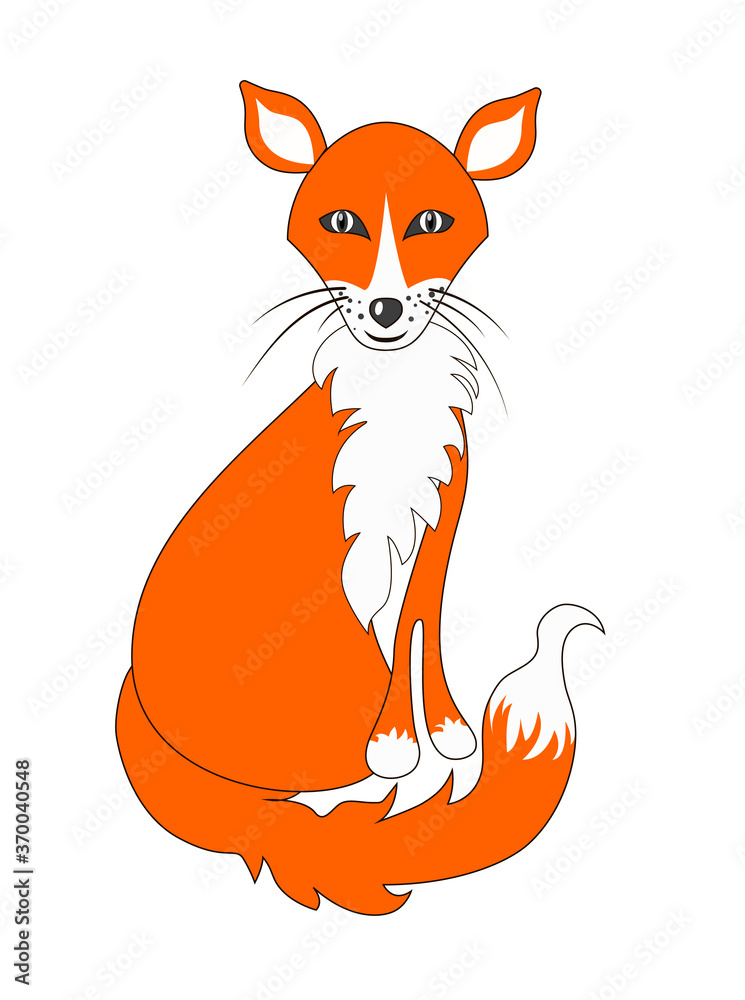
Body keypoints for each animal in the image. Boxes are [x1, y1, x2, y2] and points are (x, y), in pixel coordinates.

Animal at [115, 80, 602, 915]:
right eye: (339, 222)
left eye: (430, 223)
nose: (384, 310)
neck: (396, 404)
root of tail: (138, 698)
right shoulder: (360, 548)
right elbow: (395, 650)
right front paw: (397, 747)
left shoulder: (440, 519)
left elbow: (421, 630)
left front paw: (444, 734)